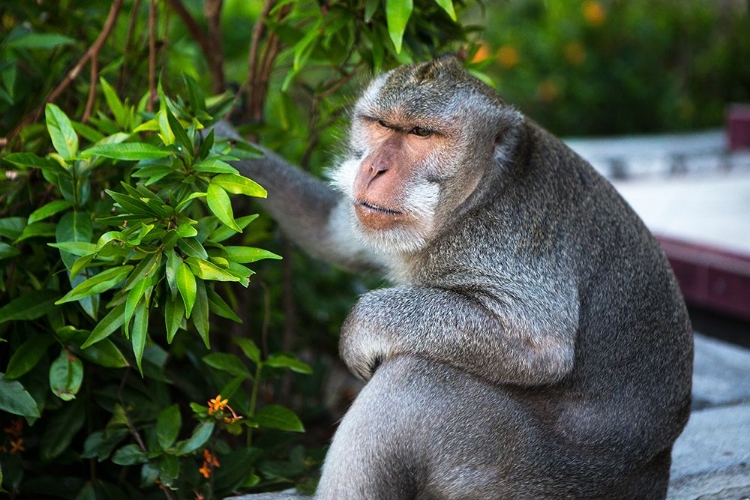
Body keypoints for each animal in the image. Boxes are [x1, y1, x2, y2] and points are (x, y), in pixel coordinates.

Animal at [228, 56, 692, 498]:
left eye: (420, 133)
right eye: (381, 125)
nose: (374, 169)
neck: (480, 194)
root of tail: (655, 471)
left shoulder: (508, 240)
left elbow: (539, 344)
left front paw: (361, 327)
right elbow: (331, 232)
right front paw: (226, 140)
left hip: (521, 471)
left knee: (412, 380)